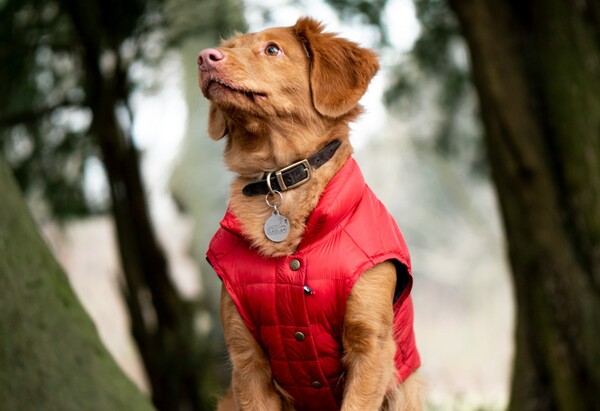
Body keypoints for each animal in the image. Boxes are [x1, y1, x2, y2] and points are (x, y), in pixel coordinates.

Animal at [199, 16, 424, 411]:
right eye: (231, 47)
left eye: (272, 49)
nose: (204, 57)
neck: (279, 180)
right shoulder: (246, 358)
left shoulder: (371, 347)